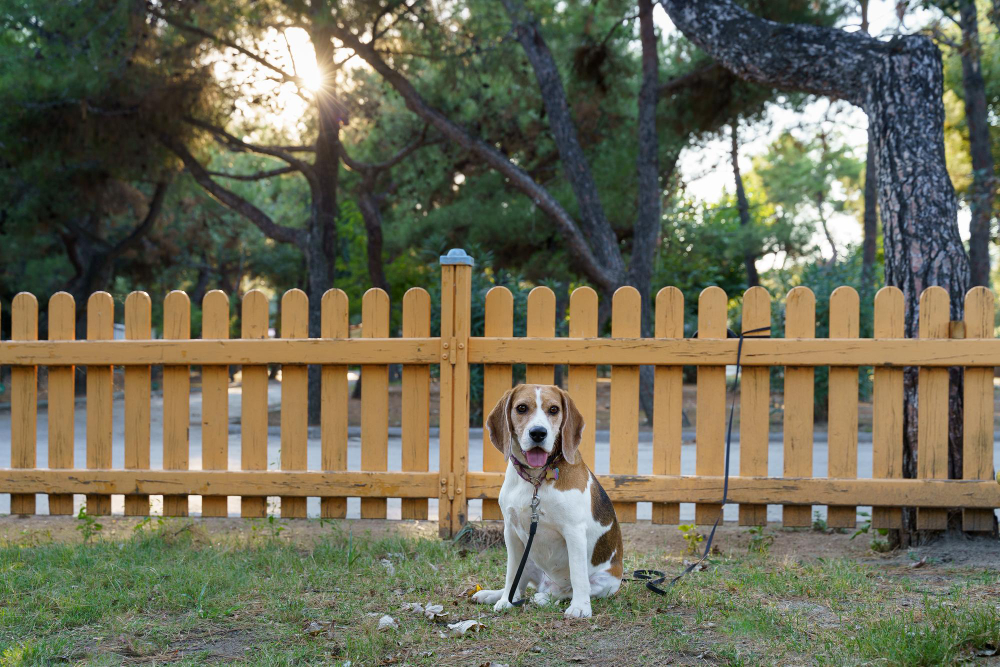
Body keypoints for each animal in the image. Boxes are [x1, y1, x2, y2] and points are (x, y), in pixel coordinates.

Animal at [472, 384, 620, 620]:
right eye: (521, 408)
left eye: (553, 409)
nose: (538, 433)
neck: (536, 479)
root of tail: (547, 584)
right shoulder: (511, 531)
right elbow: (511, 574)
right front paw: (505, 600)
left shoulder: (574, 531)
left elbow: (578, 575)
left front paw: (580, 608)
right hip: (529, 558)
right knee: (520, 586)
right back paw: (494, 595)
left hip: (605, 581)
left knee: (567, 590)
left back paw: (546, 597)